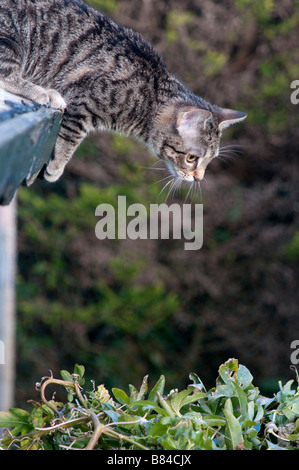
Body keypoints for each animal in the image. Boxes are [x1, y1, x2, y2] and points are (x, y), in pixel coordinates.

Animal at [0, 0, 246, 187]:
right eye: (191, 158)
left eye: (209, 160)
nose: (198, 178)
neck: (149, 97)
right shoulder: (83, 101)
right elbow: (71, 137)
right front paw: (57, 167)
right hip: (11, 38)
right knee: (6, 74)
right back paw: (45, 93)